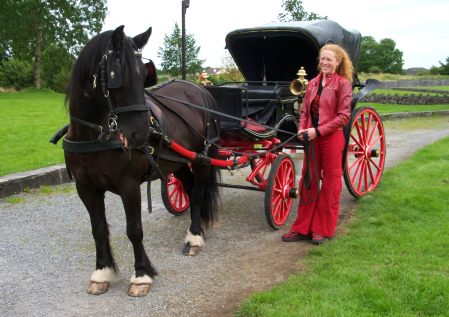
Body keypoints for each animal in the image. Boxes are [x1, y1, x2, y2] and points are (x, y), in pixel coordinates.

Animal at [62, 27, 220, 296]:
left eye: (144, 75)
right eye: (116, 75)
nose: (141, 132)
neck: (94, 135)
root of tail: (198, 88)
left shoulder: (129, 185)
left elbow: (134, 230)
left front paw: (141, 274)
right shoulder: (86, 187)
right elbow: (98, 229)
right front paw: (102, 271)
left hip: (202, 158)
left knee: (198, 193)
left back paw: (194, 237)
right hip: (177, 162)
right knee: (189, 188)